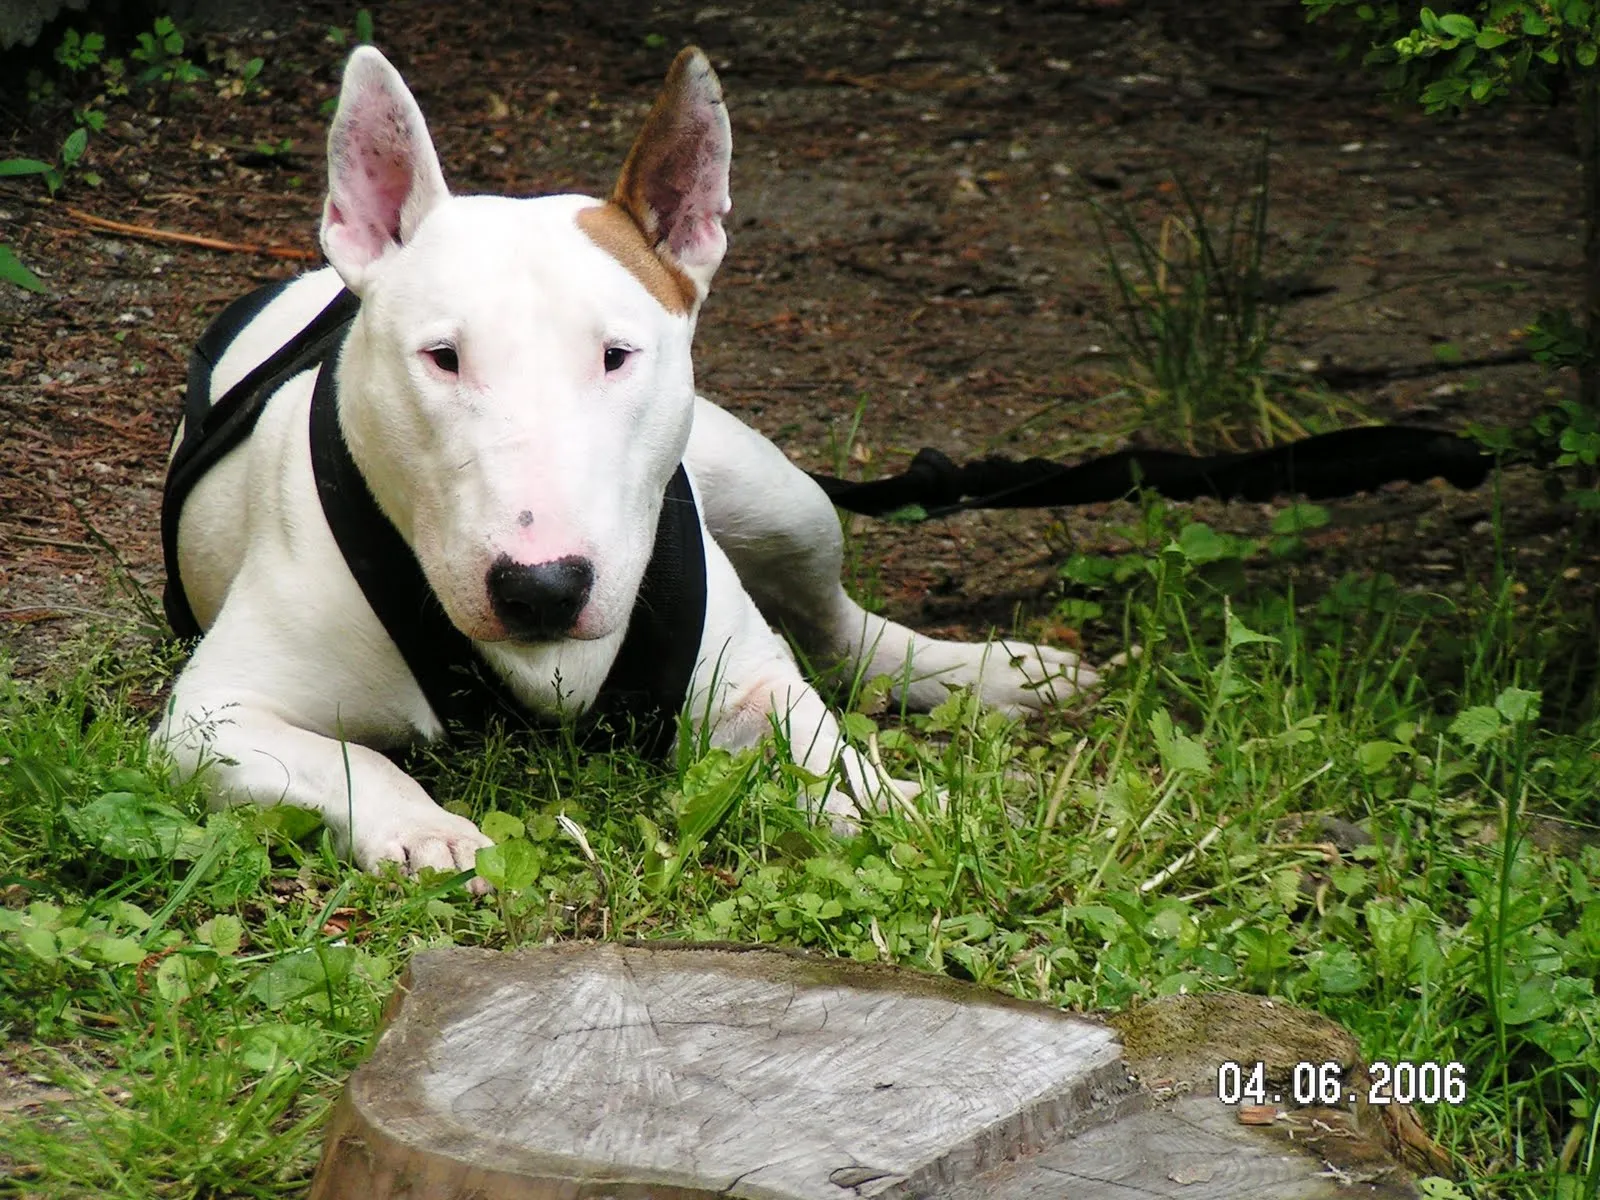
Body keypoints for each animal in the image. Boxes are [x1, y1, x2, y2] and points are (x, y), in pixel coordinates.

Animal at [152, 47, 1100, 876]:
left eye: (615, 356)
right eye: (443, 358)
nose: (542, 589)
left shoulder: (749, 682)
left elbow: (819, 737)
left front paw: (887, 801)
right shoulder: (209, 720)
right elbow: (353, 760)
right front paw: (424, 830)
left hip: (781, 497)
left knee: (844, 635)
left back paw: (1000, 670)